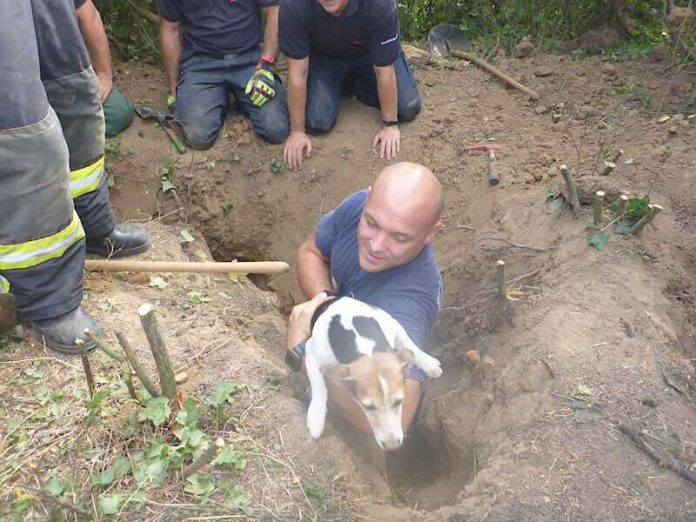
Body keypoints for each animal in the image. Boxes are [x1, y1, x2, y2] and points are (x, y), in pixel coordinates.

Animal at [304, 294, 440, 448]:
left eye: (399, 401)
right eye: (367, 407)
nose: (392, 445)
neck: (364, 346)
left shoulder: (393, 325)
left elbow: (410, 345)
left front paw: (428, 363)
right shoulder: (311, 350)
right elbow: (318, 385)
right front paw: (316, 417)